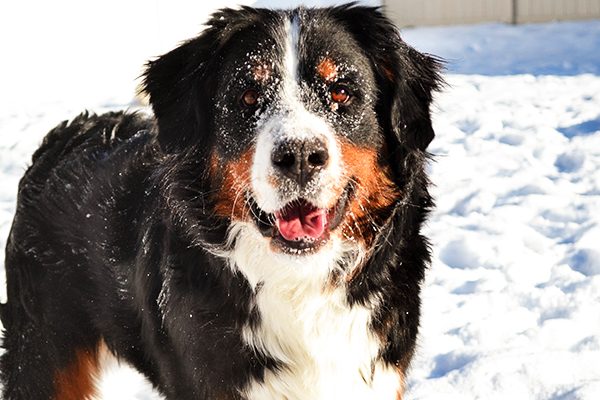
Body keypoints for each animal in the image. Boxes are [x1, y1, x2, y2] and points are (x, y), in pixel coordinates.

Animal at [0, 3, 440, 400]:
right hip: (43, 354)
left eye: (341, 92)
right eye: (248, 96)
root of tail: (61, 138)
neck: (300, 287)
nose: (299, 155)